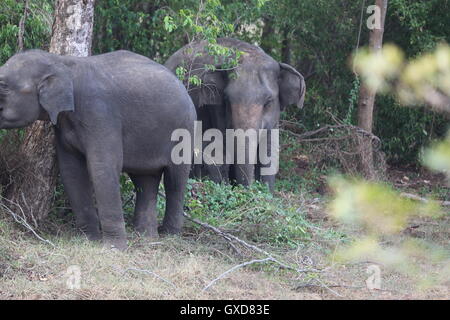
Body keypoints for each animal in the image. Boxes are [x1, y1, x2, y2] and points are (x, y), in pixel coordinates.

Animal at [0, 50, 197, 250]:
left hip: (185, 130)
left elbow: (102, 168)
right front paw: (89, 240)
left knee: (175, 180)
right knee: (145, 180)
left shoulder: (101, 114)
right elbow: (71, 171)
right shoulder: (63, 127)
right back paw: (146, 236)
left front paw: (114, 249)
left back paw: (169, 236)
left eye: (3, 87)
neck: (63, 63)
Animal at [165, 38, 306, 192]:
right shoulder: (213, 109)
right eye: (227, 99)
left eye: (268, 101)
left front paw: (266, 194)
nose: (247, 190)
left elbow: (268, 151)